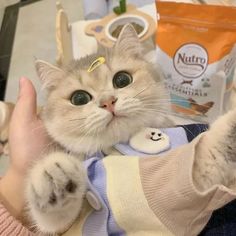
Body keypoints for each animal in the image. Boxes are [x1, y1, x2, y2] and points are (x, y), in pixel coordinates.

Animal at [24, 23, 236, 234]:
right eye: (79, 98)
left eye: (122, 80)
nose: (108, 102)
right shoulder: (71, 225)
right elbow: (56, 219)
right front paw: (52, 173)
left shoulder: (187, 178)